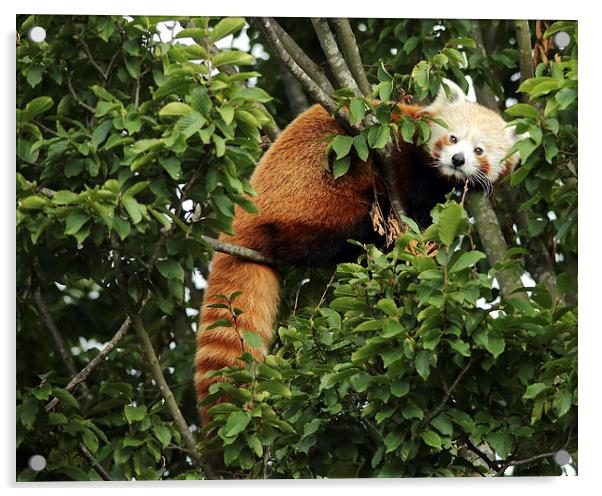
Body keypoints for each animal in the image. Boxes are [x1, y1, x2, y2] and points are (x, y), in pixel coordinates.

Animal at [193, 78, 520, 418]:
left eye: (479, 150)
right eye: (453, 138)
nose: (457, 160)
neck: (435, 173)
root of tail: (241, 220)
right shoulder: (399, 157)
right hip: (319, 193)